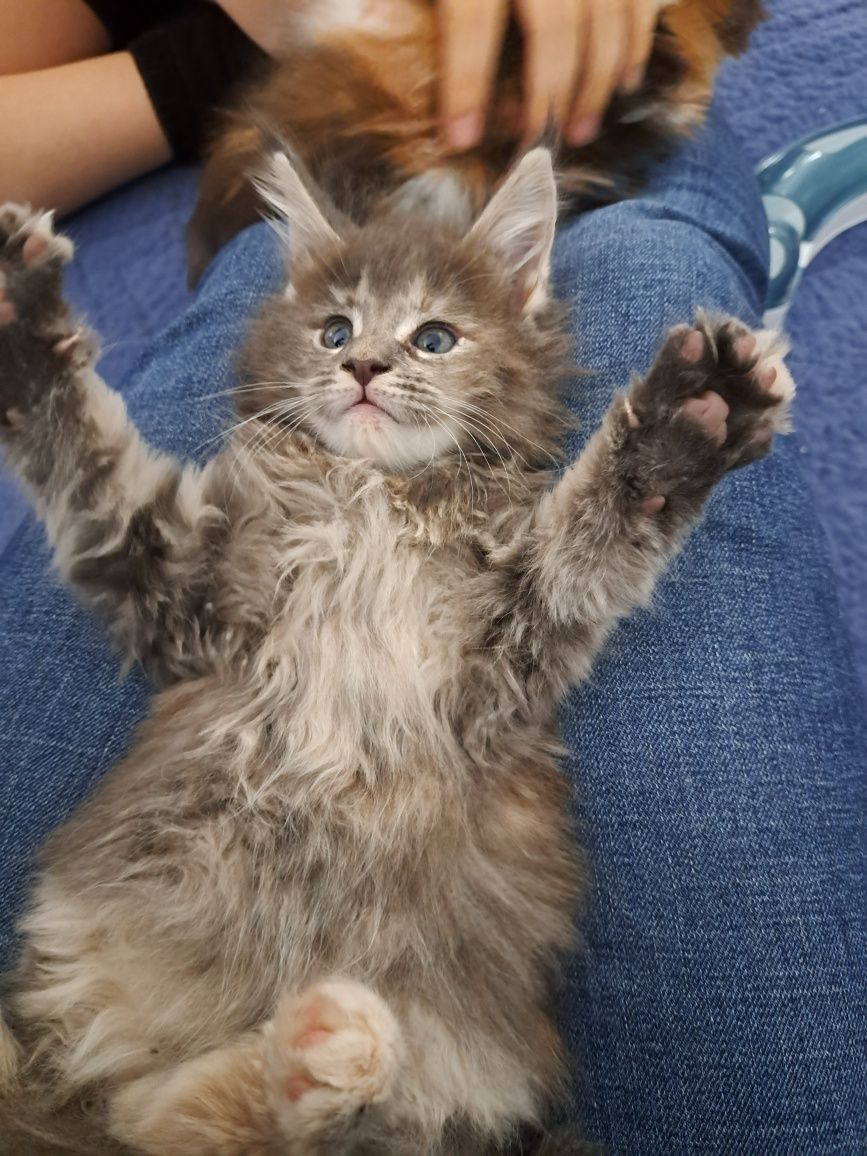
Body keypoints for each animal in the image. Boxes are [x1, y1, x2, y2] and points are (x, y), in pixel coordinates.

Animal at [0, 149, 795, 1151]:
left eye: (434, 339)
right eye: (334, 331)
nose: (365, 366)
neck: (375, 493)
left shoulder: (510, 648)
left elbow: (596, 535)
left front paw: (684, 425)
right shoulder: (178, 589)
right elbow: (85, 456)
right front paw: (19, 320)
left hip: (454, 1069)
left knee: (206, 1119)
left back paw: (323, 1051)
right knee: (166, 1119)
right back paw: (320, 1052)